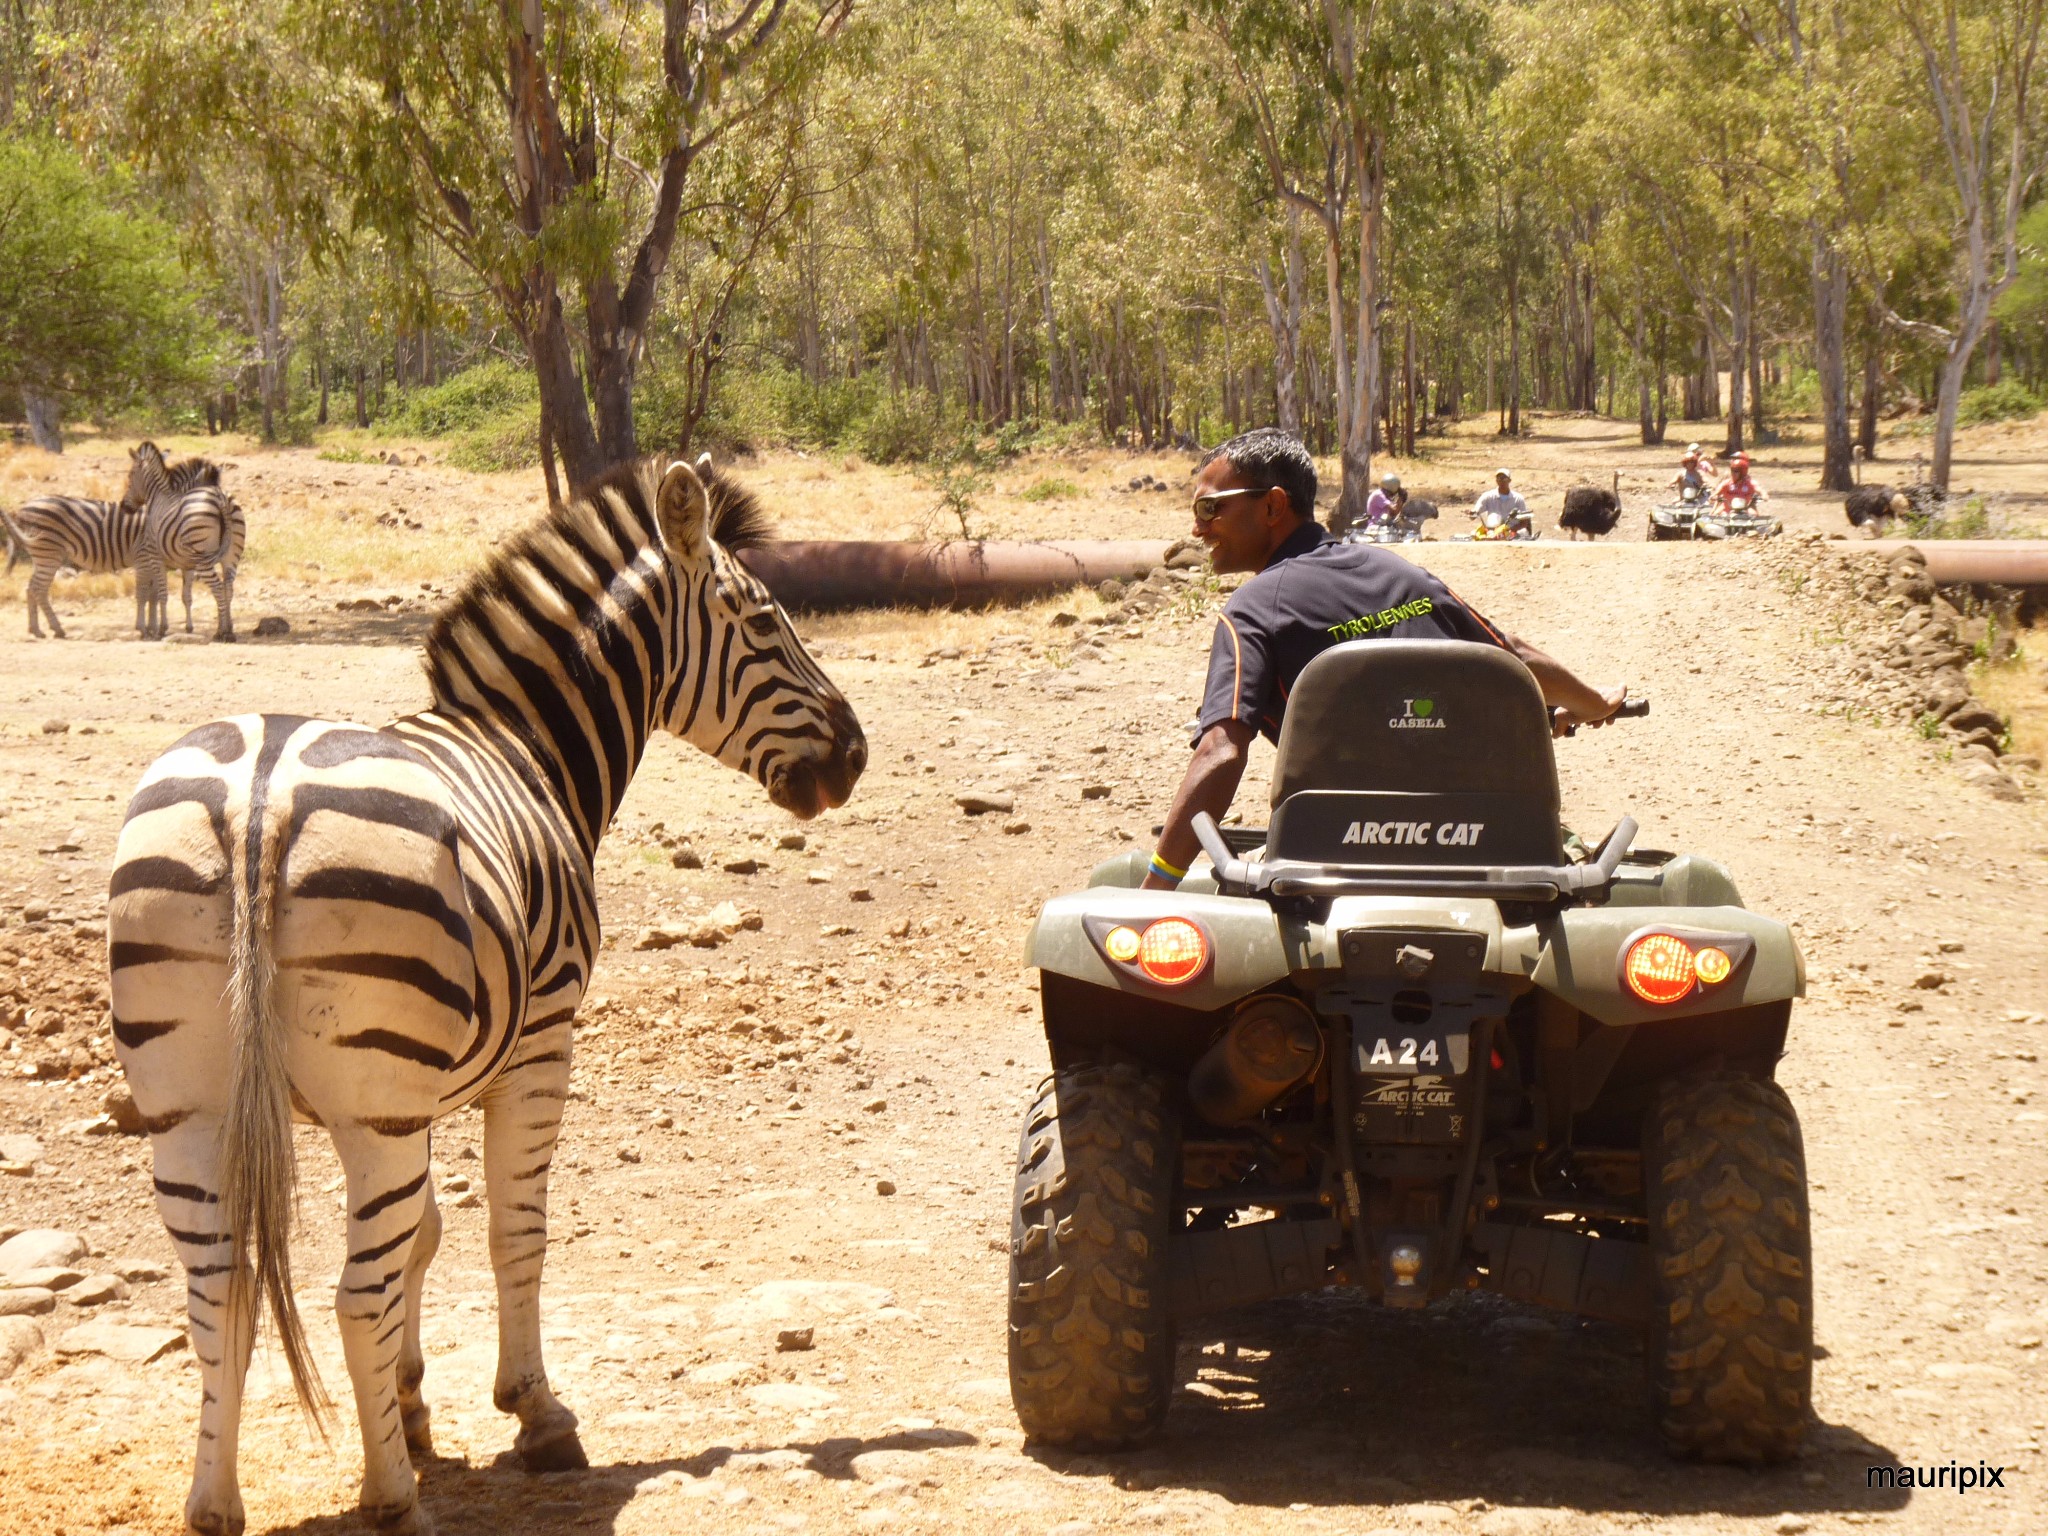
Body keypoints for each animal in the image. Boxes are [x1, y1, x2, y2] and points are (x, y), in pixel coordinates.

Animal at [123, 438, 245, 643]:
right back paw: (229, 630)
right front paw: (188, 627)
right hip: (231, 556)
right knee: (228, 588)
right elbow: (186, 596)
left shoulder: (155, 557)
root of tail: (220, 497)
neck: (159, 496)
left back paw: (222, 633)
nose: (125, 506)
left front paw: (162, 629)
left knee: (218, 588)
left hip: (203, 558)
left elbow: (162, 593)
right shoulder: (187, 565)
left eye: (131, 475)